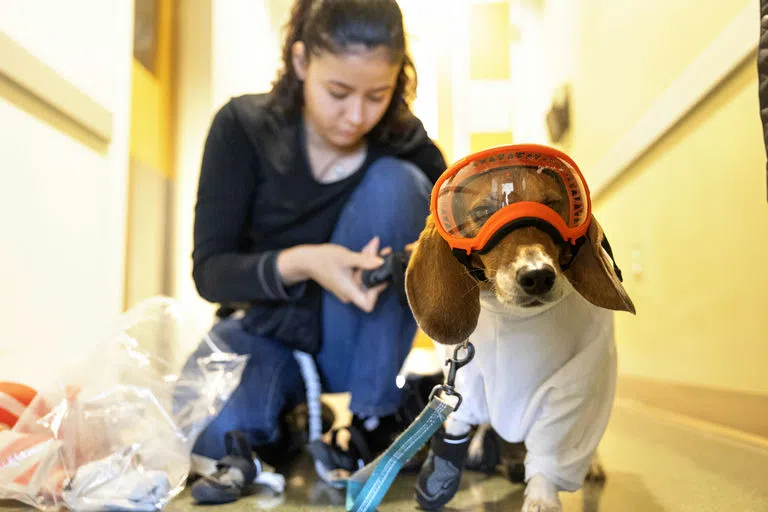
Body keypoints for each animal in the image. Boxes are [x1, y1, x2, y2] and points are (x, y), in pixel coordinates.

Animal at [404, 145, 632, 512]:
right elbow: (456, 419)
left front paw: (541, 497)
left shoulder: (571, 389)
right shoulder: (465, 383)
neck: (512, 319)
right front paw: (440, 473)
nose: (538, 275)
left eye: (553, 205)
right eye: (483, 212)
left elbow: (551, 454)